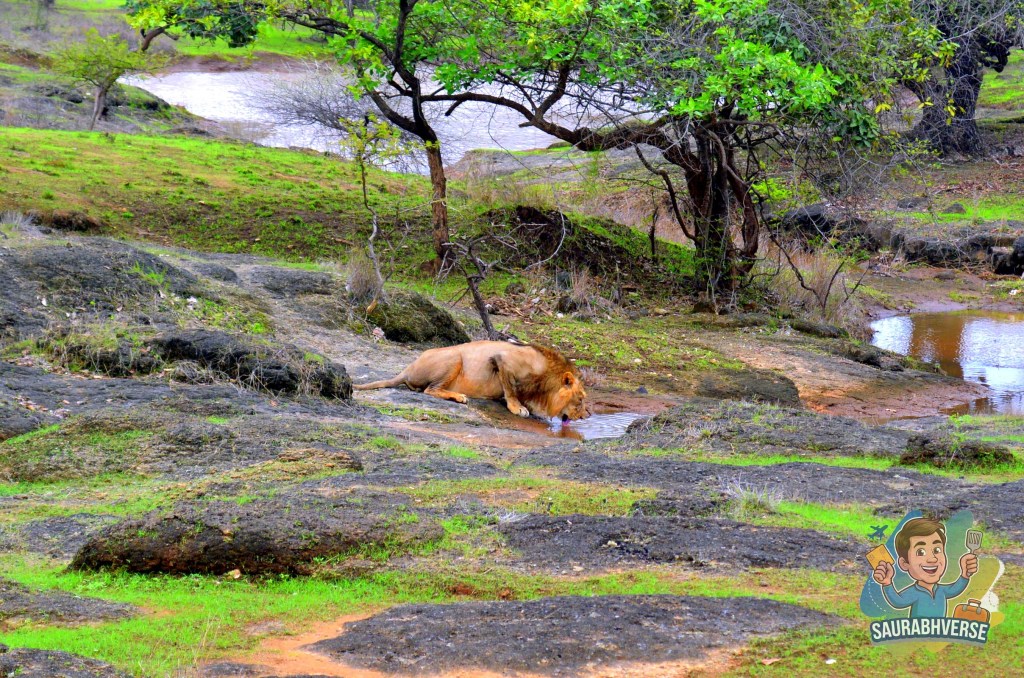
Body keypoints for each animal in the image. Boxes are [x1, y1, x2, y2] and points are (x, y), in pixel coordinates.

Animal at [354, 341, 590, 422]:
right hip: (454, 357)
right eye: (580, 399)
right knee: (430, 390)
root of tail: (407, 369)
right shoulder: (502, 359)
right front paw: (517, 408)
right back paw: (459, 397)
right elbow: (510, 390)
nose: (588, 415)